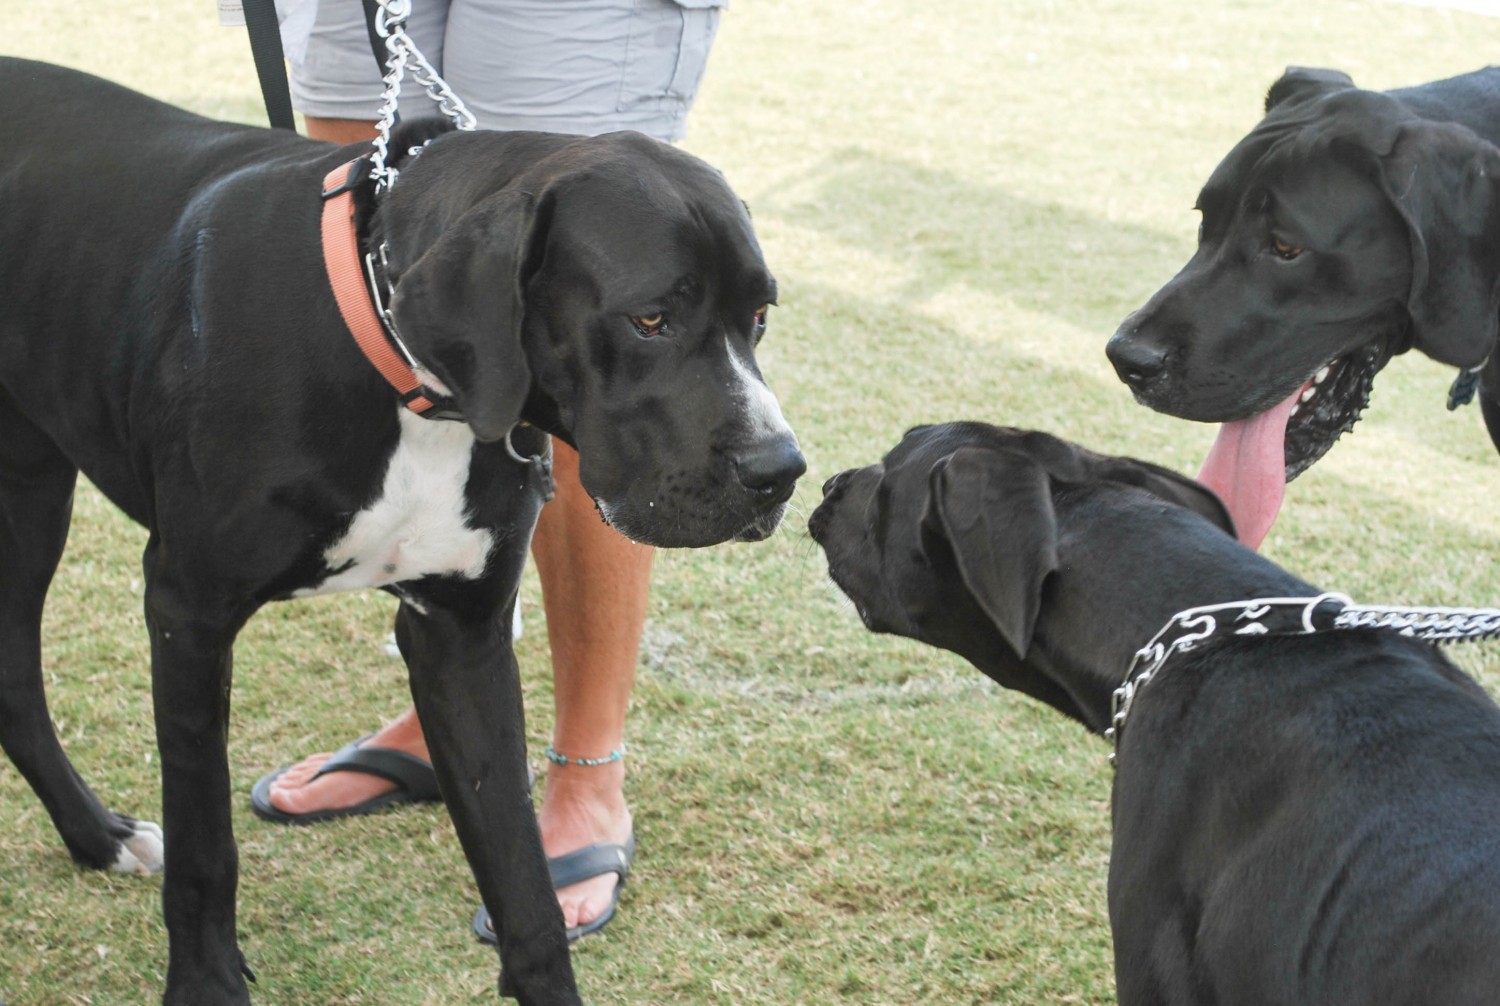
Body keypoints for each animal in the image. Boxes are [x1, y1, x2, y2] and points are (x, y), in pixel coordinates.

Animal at [0, 61, 810, 1006]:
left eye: (759, 316)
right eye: (652, 318)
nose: (781, 470)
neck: (404, 370)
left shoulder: (462, 635)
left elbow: (523, 876)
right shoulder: (187, 613)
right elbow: (205, 848)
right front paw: (205, 982)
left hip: (31, 488)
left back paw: (92, 837)